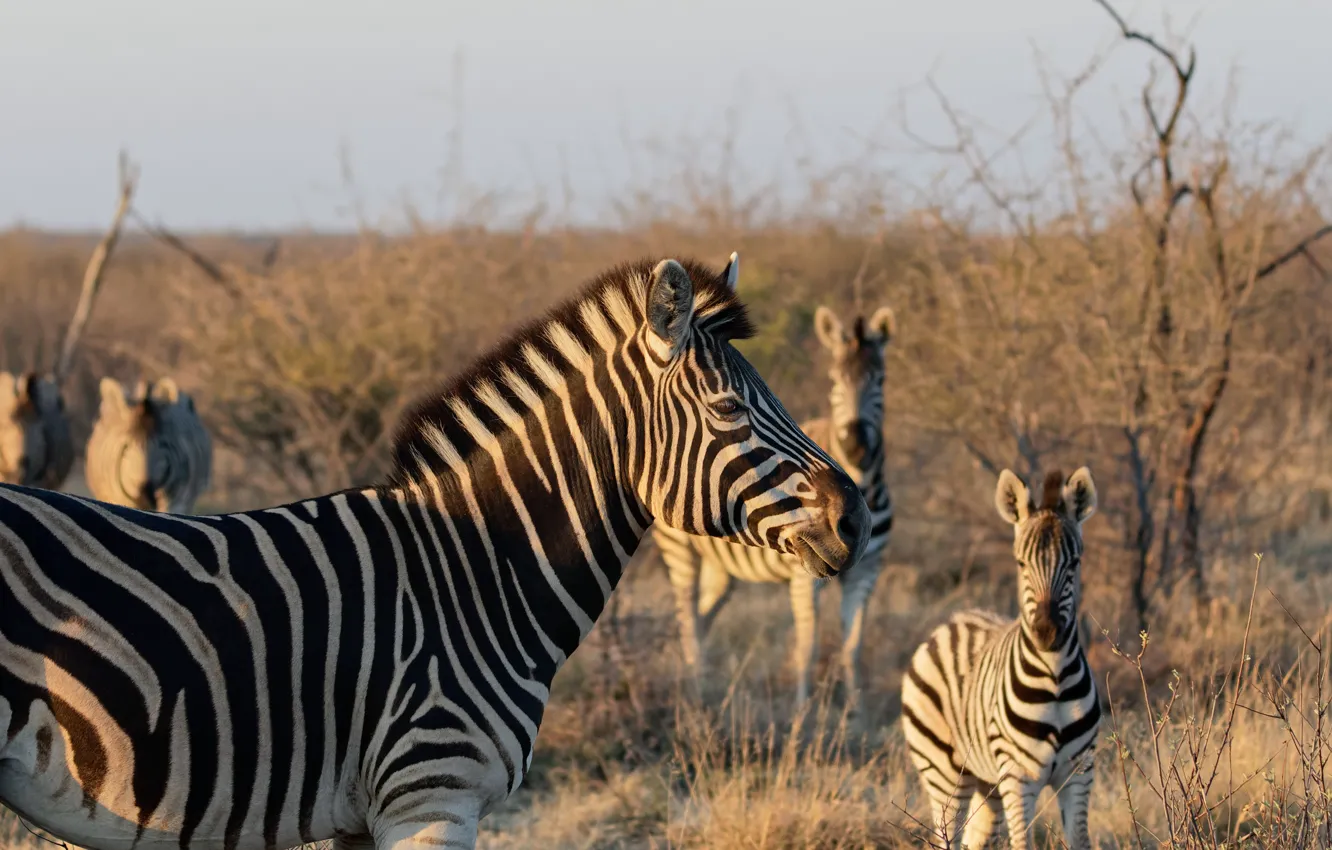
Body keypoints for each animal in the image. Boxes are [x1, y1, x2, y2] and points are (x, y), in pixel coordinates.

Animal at [654, 304, 896, 708]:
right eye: (834, 381)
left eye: (880, 380)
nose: (856, 446)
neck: (865, 485)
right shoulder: (805, 576)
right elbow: (807, 649)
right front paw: (802, 716)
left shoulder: (867, 572)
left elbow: (853, 650)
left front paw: (857, 713)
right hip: (679, 549)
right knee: (687, 618)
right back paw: (696, 694)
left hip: (721, 567)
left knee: (703, 617)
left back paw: (705, 688)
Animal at [900, 467, 1100, 850]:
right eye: (1021, 563)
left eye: (1075, 563)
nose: (1047, 633)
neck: (1055, 680)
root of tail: (954, 619)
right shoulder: (1019, 778)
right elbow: (1023, 843)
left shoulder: (1080, 773)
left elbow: (1080, 839)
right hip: (944, 772)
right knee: (946, 835)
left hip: (987, 783)